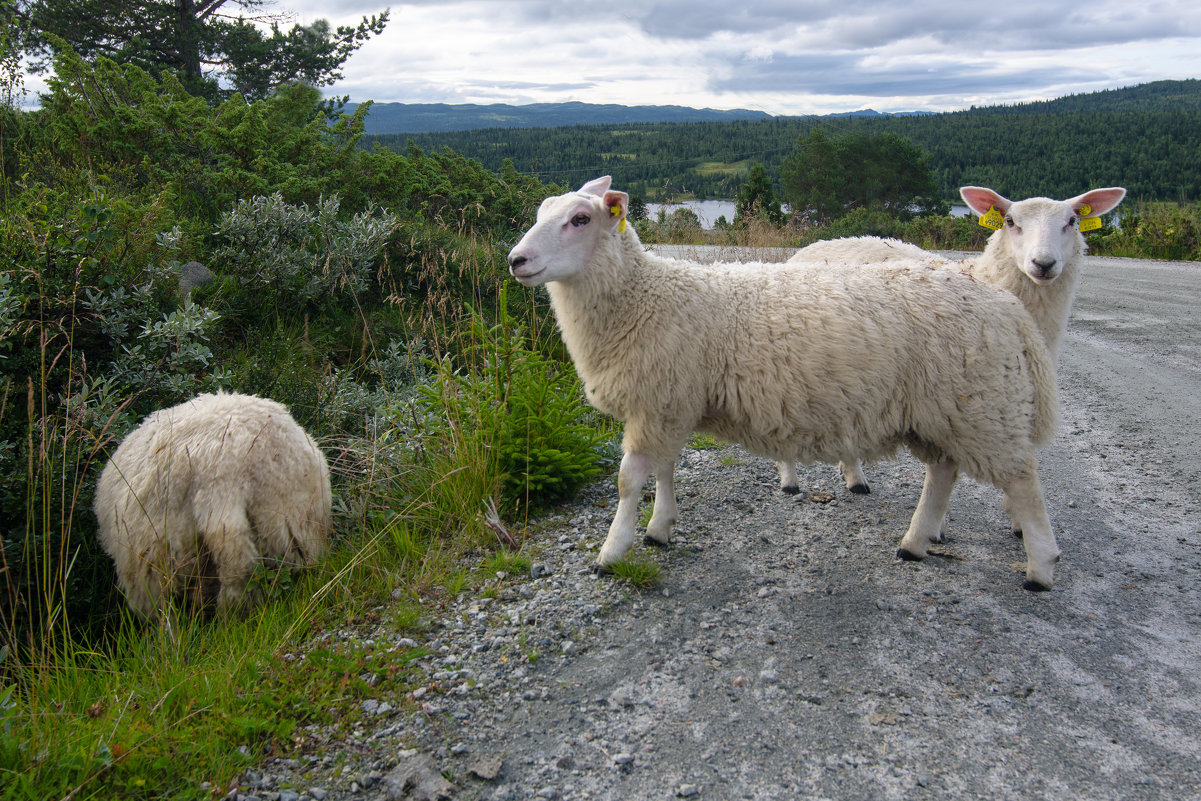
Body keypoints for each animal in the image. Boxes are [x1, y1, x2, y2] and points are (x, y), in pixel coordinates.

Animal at [506, 178, 1061, 593]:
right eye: (541, 212)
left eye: (580, 220)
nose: (515, 260)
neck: (643, 296)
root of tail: (1007, 307)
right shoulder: (669, 399)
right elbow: (664, 470)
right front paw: (659, 529)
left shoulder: (658, 399)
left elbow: (627, 482)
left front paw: (611, 551)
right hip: (943, 410)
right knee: (944, 471)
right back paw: (916, 542)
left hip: (980, 406)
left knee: (1023, 480)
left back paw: (1040, 567)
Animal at [787, 188, 1124, 501]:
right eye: (1010, 221)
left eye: (1072, 221)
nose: (1043, 263)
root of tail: (813, 245)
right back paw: (792, 480)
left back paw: (854, 477)